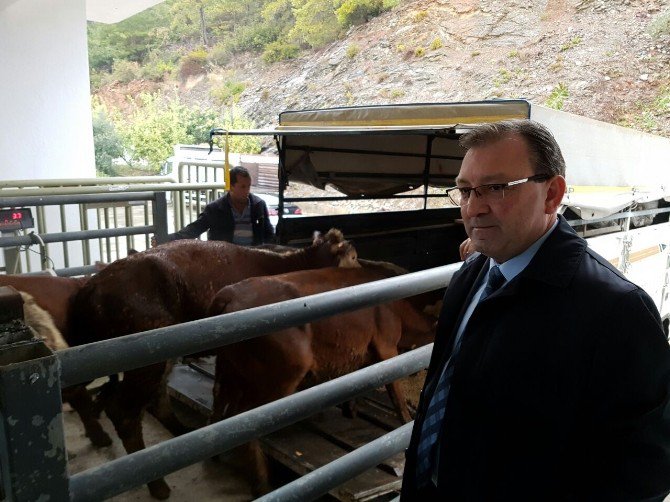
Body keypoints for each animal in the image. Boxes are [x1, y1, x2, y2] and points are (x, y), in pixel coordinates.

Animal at [69, 229, 360, 500]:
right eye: (354, 256)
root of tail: (91, 287)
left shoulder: (226, 355)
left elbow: (219, 393)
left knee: (152, 397)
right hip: (145, 360)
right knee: (124, 412)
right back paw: (158, 484)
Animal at [206, 266, 436, 494]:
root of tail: (228, 293)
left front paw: (351, 410)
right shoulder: (386, 346)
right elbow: (396, 393)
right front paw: (406, 422)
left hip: (228, 366)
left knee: (220, 397)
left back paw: (216, 456)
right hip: (282, 373)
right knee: (244, 418)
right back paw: (261, 481)